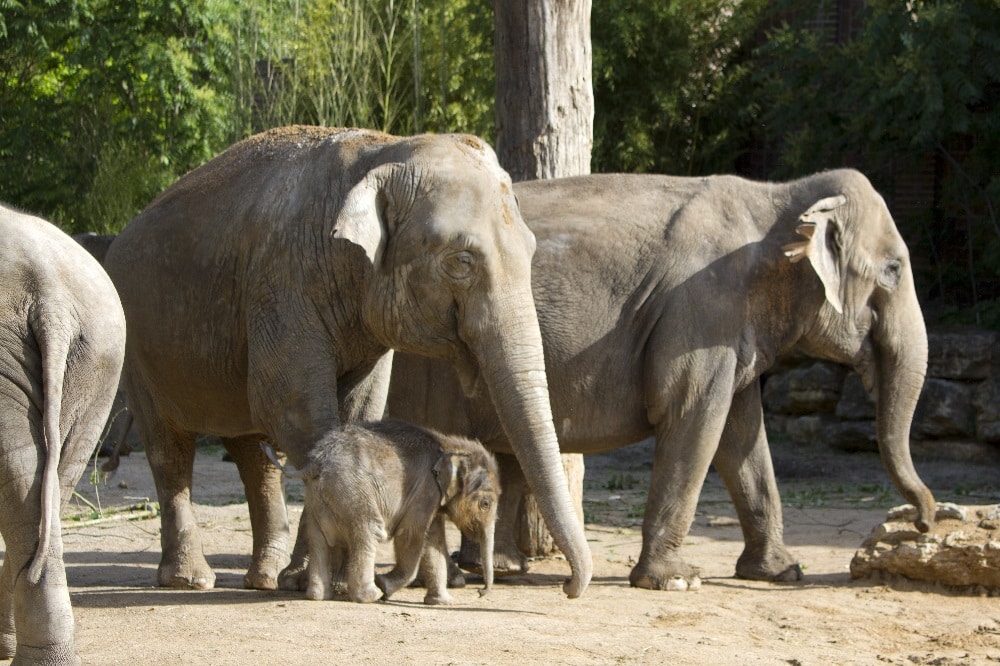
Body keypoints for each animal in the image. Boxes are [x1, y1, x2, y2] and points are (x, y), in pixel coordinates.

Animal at [266, 420, 500, 600]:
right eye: (485, 504)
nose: (479, 592)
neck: (450, 444)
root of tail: (316, 461)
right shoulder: (425, 490)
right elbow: (411, 536)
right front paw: (384, 586)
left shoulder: (431, 498)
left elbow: (434, 541)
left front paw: (441, 602)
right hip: (354, 493)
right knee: (369, 532)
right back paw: (371, 596)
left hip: (316, 498)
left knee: (317, 539)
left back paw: (319, 596)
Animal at [386, 169, 932, 588]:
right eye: (893, 269)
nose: (924, 523)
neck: (777, 198)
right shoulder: (702, 311)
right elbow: (693, 417)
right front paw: (676, 582)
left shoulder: (728, 327)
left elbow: (742, 436)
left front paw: (780, 573)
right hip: (423, 362)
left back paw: (501, 569)